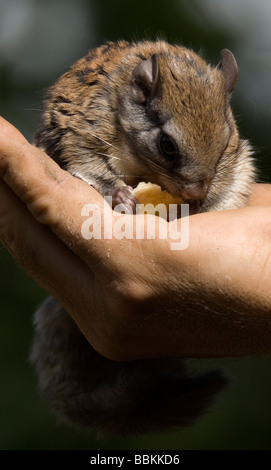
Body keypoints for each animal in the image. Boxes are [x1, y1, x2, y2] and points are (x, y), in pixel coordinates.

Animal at [30, 39, 258, 434]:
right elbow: (89, 166)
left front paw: (204, 204)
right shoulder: (83, 132)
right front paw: (119, 193)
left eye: (226, 137)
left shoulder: (235, 163)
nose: (195, 193)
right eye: (167, 145)